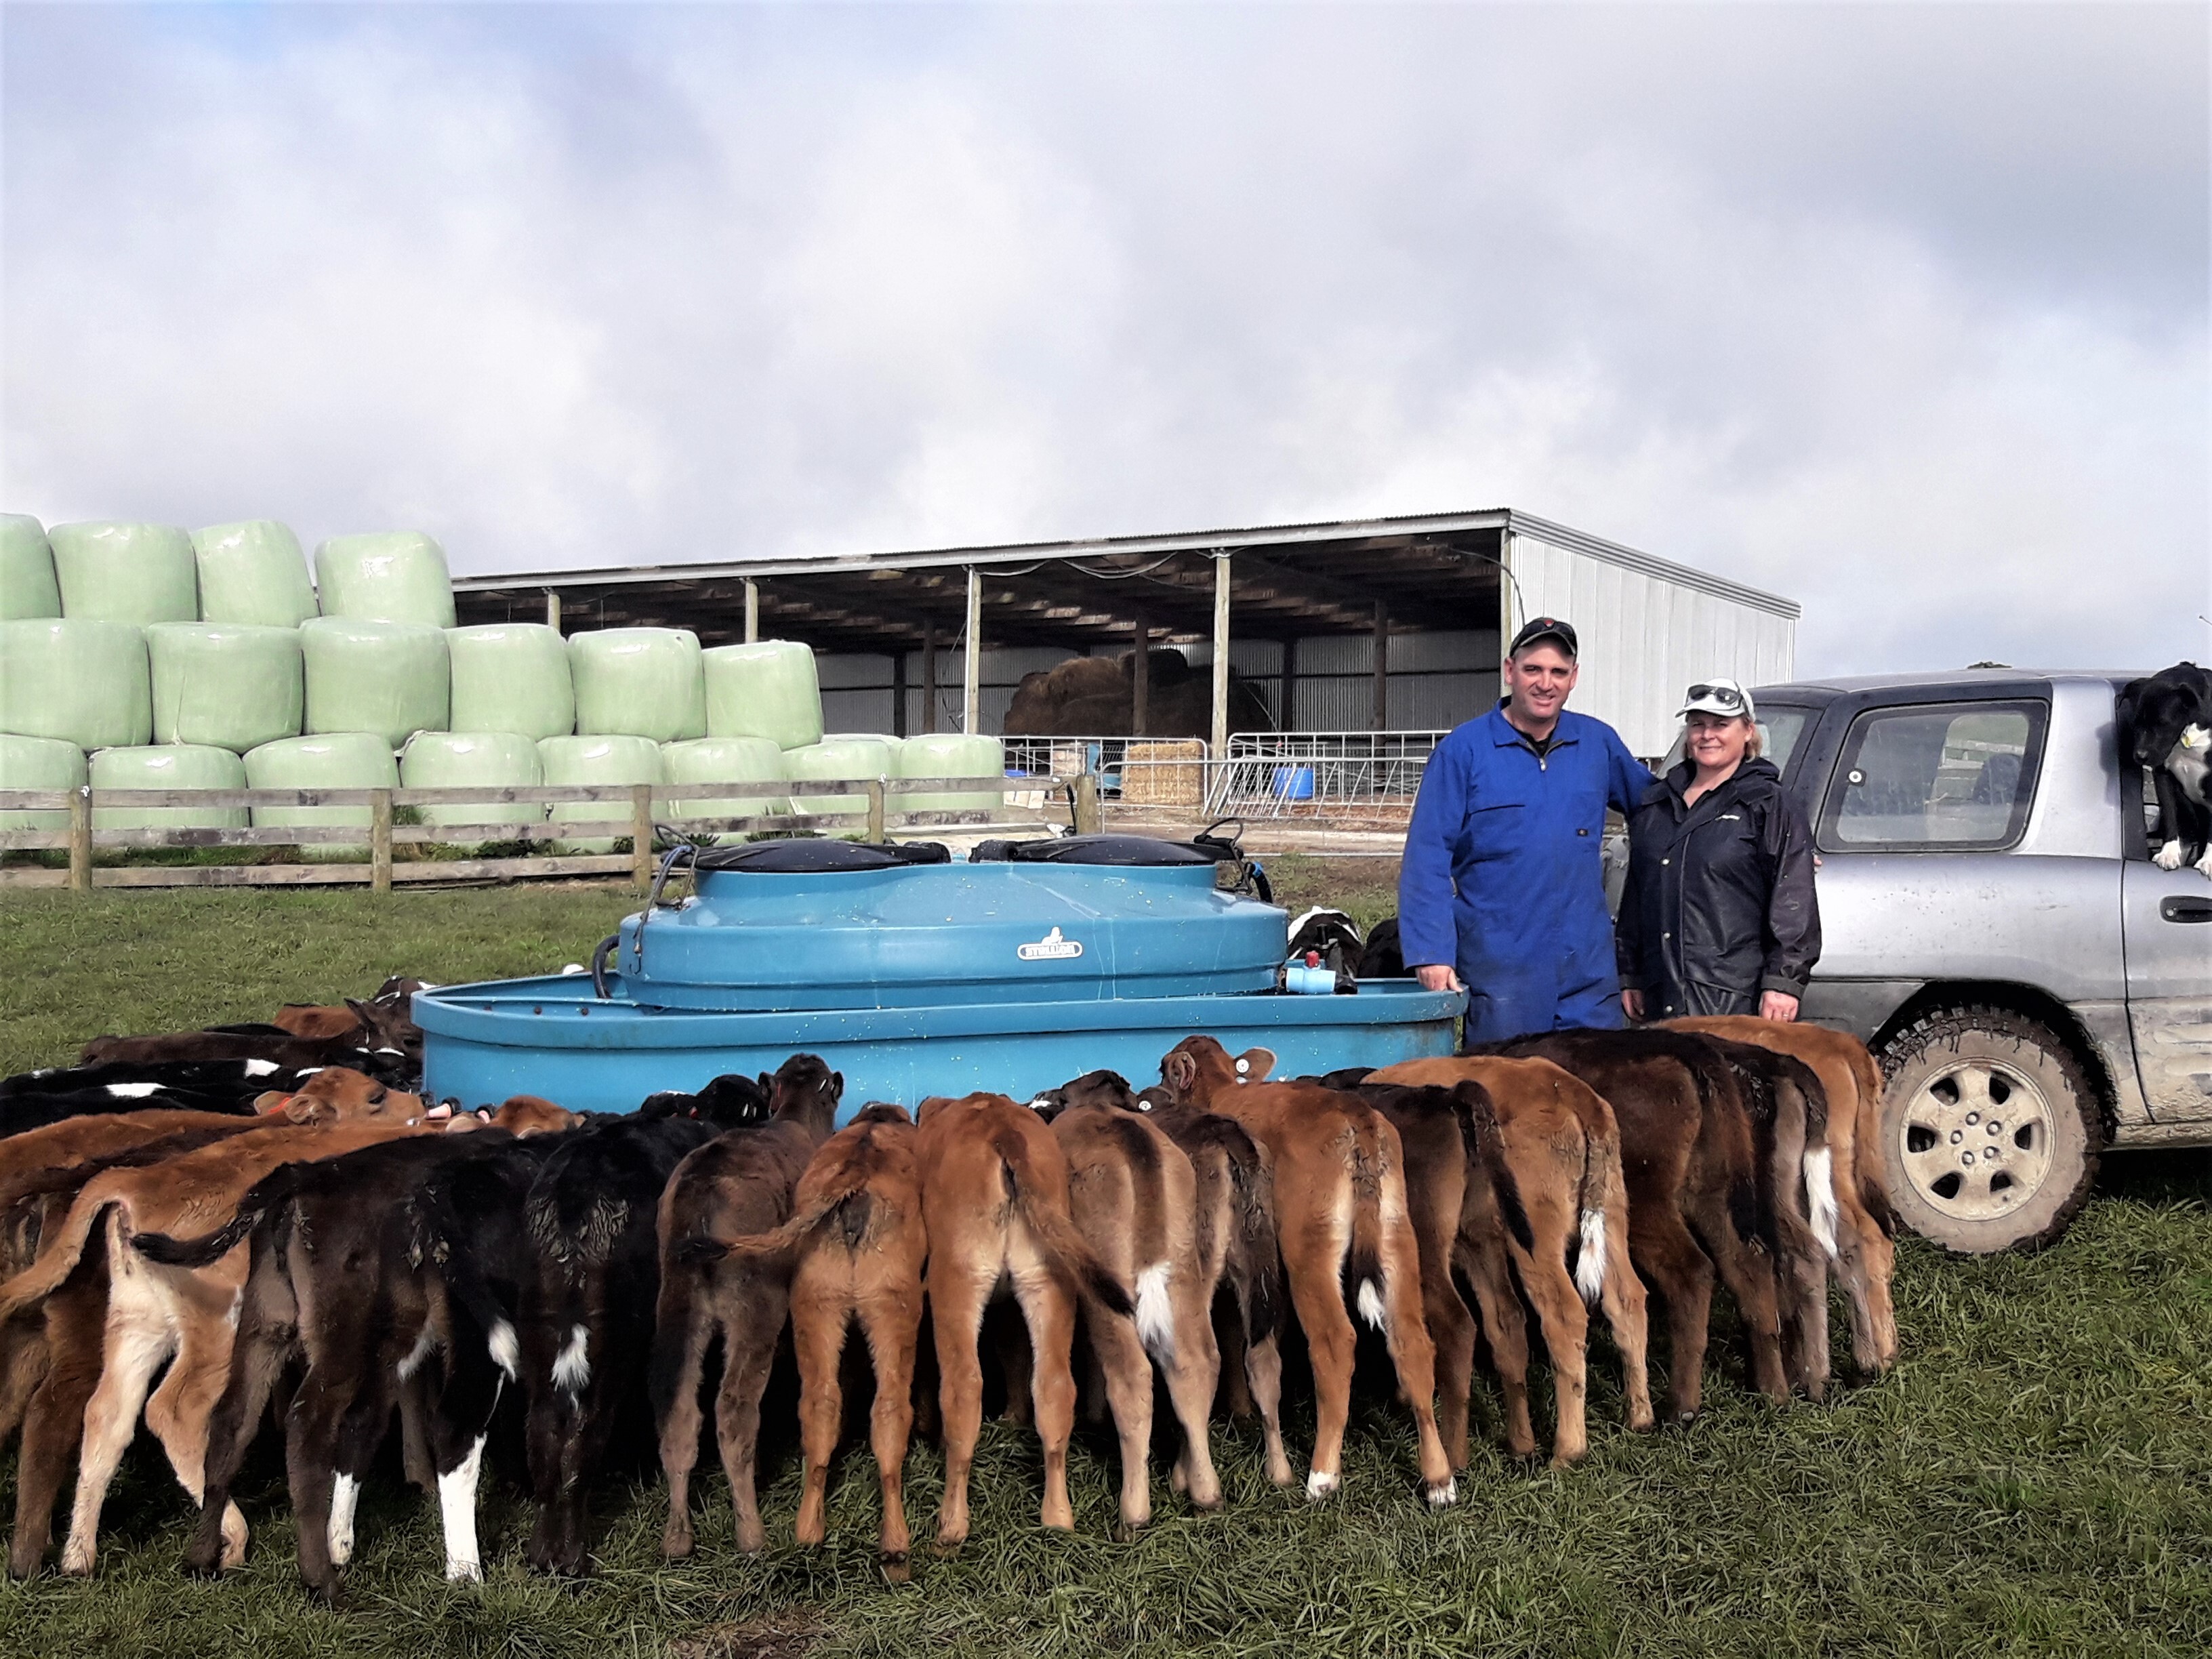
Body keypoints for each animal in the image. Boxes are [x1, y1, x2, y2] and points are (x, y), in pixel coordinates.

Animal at [911, 1097, 1132, 1557]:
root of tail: (1003, 1132)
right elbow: (1013, 1354)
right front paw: (1013, 1417)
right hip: (1048, 1280)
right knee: (1054, 1387)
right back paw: (1058, 1519)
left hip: (957, 1281)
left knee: (963, 1389)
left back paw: (951, 1527)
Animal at [1168, 1044, 1460, 1513]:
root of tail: (1359, 1121)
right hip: (1396, 1238)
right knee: (1412, 1343)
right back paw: (1439, 1480)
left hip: (1310, 1250)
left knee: (1335, 1343)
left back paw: (1322, 1476)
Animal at [2114, 659, 2212, 876]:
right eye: (2136, 722)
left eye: (2163, 723)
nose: (2140, 756)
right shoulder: (2163, 775)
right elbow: (2170, 814)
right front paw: (2169, 853)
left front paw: (2209, 861)